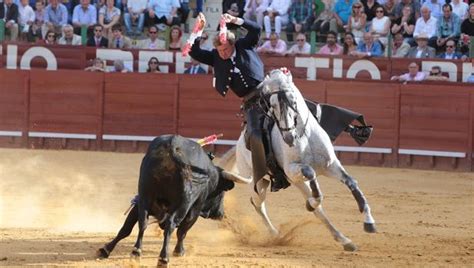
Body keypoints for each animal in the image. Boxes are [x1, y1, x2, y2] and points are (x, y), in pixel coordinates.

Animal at [97, 135, 252, 264]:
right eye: (221, 192)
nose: (220, 214)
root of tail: (172, 150)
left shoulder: (139, 202)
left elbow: (126, 228)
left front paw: (106, 249)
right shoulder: (195, 209)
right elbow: (182, 231)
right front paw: (179, 251)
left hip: (144, 196)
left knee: (142, 222)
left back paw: (135, 252)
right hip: (183, 204)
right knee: (171, 225)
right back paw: (163, 258)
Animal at [224, 68, 376, 251]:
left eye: (293, 101)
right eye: (272, 105)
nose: (289, 138)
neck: (304, 134)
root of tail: (239, 145)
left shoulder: (331, 165)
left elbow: (351, 182)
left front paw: (369, 221)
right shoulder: (292, 170)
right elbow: (311, 175)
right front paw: (312, 202)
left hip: (284, 181)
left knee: (317, 210)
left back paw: (344, 240)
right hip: (260, 181)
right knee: (258, 204)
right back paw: (275, 234)